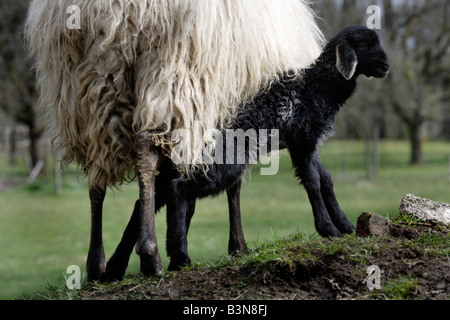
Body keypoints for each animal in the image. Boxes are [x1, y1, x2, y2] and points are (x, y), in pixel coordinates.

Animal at [103, 25, 388, 280]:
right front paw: (329, 229)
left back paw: (118, 268)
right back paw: (177, 257)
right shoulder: (302, 138)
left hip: (183, 164)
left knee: (149, 198)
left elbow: (326, 178)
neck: (315, 86)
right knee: (178, 189)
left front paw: (346, 225)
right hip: (220, 163)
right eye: (365, 45)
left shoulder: (306, 142)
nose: (386, 66)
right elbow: (313, 182)